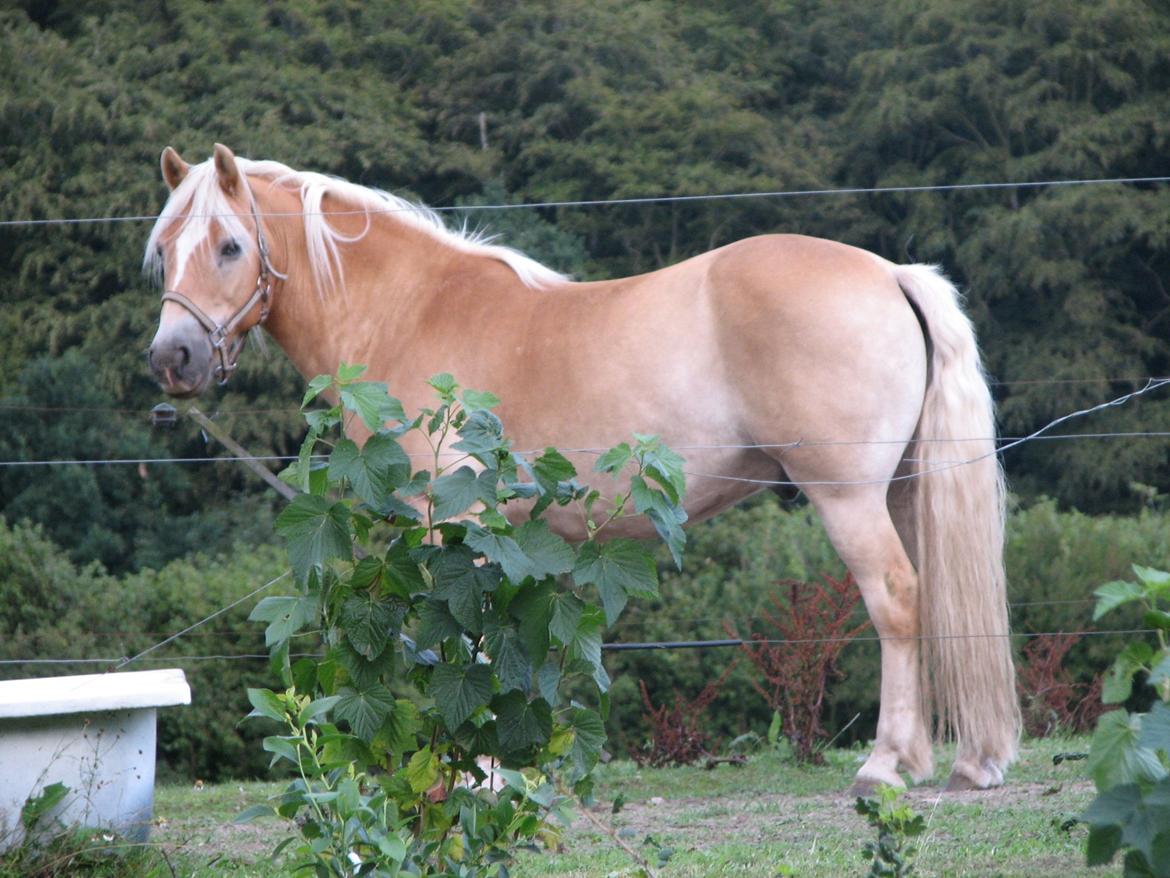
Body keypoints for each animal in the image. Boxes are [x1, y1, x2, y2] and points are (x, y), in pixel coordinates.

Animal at [146, 146, 1020, 796]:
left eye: (229, 245)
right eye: (162, 254)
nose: (172, 359)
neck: (410, 311)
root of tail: (890, 273)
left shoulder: (452, 528)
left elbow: (467, 645)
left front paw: (477, 773)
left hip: (849, 500)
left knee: (897, 602)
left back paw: (884, 766)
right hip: (903, 494)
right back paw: (955, 760)